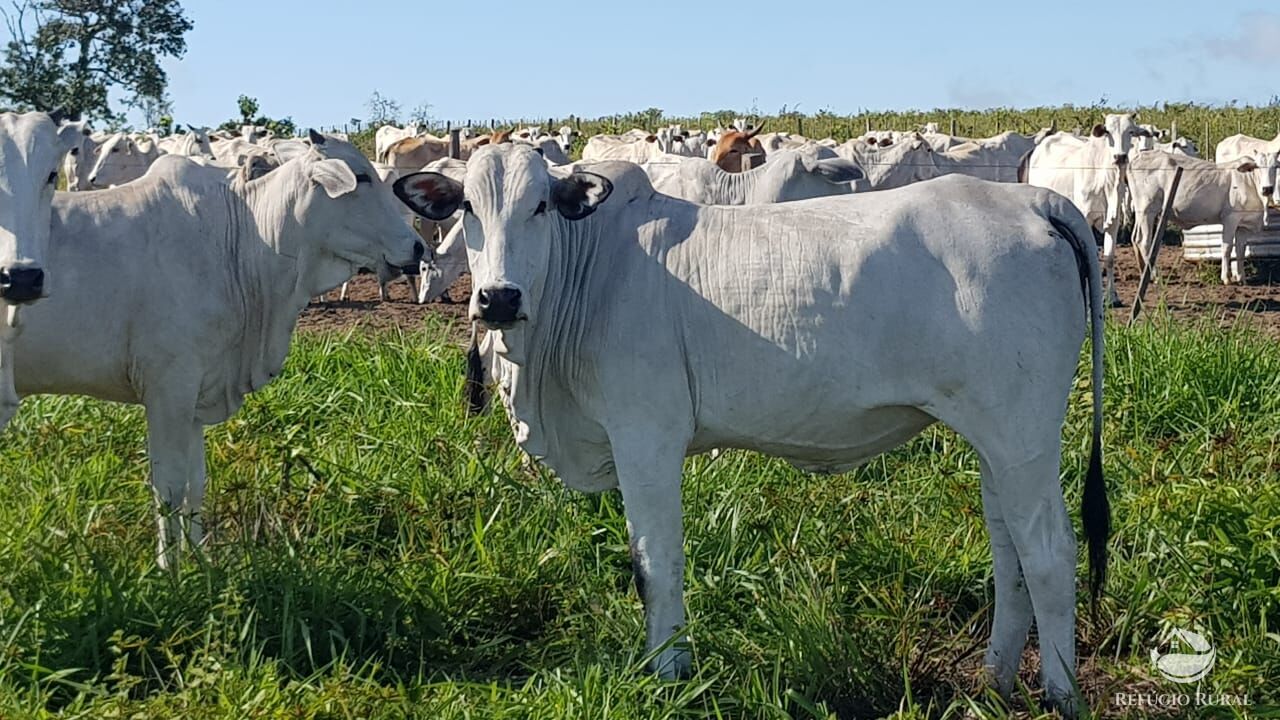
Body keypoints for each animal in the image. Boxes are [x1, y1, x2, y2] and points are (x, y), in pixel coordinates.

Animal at [2, 130, 432, 566]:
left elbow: (195, 485)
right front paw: (168, 569)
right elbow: (169, 488)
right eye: (360, 177)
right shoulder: (168, 389)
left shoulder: (196, 395)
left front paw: (199, 561)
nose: (417, 247)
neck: (246, 241)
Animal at [1024, 112, 1146, 302]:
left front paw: (1112, 296)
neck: (1105, 180)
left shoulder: (1114, 221)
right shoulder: (1084, 220)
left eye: (1131, 131)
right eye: (1108, 132)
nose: (1120, 157)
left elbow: (1109, 257)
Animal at [1131, 149, 1280, 281]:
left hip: (1140, 212)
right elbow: (1227, 247)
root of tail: (1138, 157)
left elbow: (1240, 250)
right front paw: (1226, 278)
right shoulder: (1230, 219)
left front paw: (1241, 278)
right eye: (1257, 166)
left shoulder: (1243, 225)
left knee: (1135, 238)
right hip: (1147, 209)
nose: (1267, 189)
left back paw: (1143, 273)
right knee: (1144, 242)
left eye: (1276, 166)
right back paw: (1155, 275)